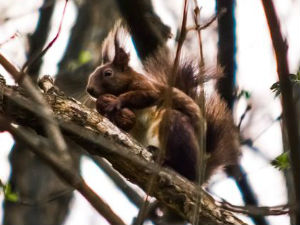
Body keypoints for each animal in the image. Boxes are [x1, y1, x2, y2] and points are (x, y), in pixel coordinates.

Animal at [86, 21, 239, 183]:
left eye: (108, 73)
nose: (89, 89)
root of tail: (201, 175)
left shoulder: (147, 87)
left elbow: (146, 95)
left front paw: (116, 102)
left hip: (177, 128)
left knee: (187, 169)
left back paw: (167, 159)